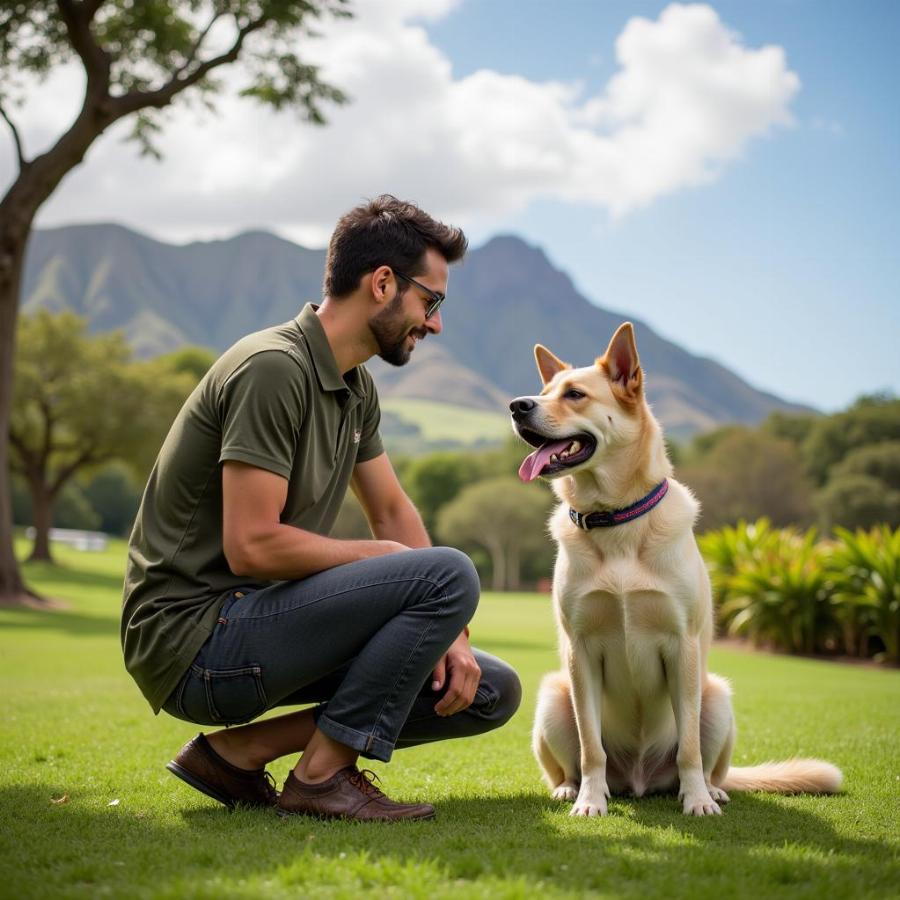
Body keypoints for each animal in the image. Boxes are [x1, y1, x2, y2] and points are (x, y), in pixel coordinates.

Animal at [512, 322, 844, 816]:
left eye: (574, 395)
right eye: (543, 392)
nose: (517, 406)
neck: (616, 519)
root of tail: (638, 781)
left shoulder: (681, 646)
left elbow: (688, 747)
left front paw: (698, 802)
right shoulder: (580, 651)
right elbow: (592, 746)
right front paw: (590, 800)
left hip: (716, 698)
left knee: (709, 765)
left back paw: (710, 789)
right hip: (554, 696)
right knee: (574, 762)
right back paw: (572, 788)